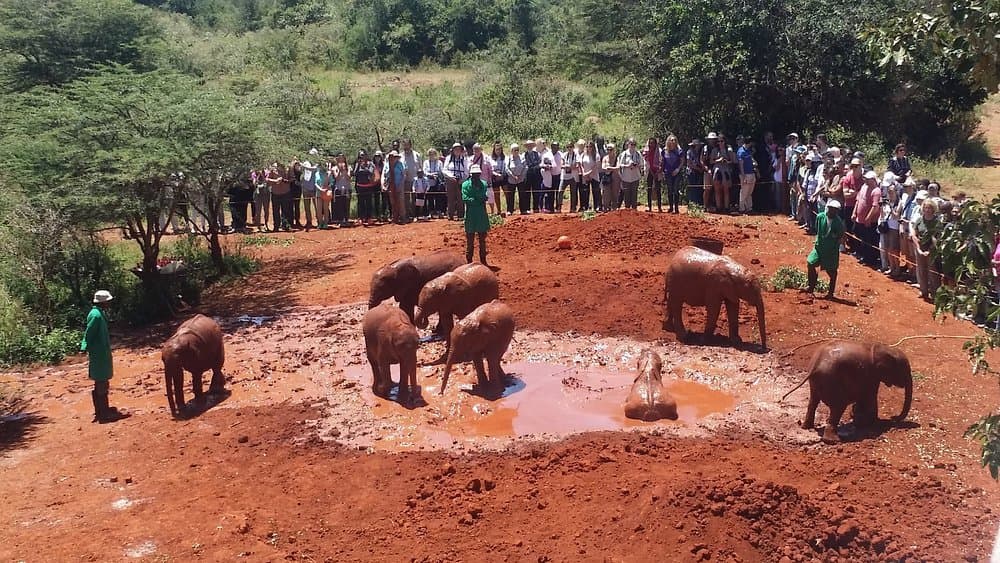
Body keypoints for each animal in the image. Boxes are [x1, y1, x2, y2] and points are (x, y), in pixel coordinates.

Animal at [782, 339, 913, 444]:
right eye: (904, 369)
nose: (893, 417)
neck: (882, 348)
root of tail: (816, 366)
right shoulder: (872, 376)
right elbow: (870, 397)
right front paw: (873, 423)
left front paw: (858, 417)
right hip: (831, 381)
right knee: (838, 407)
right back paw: (834, 441)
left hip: (816, 382)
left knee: (813, 402)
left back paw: (806, 427)